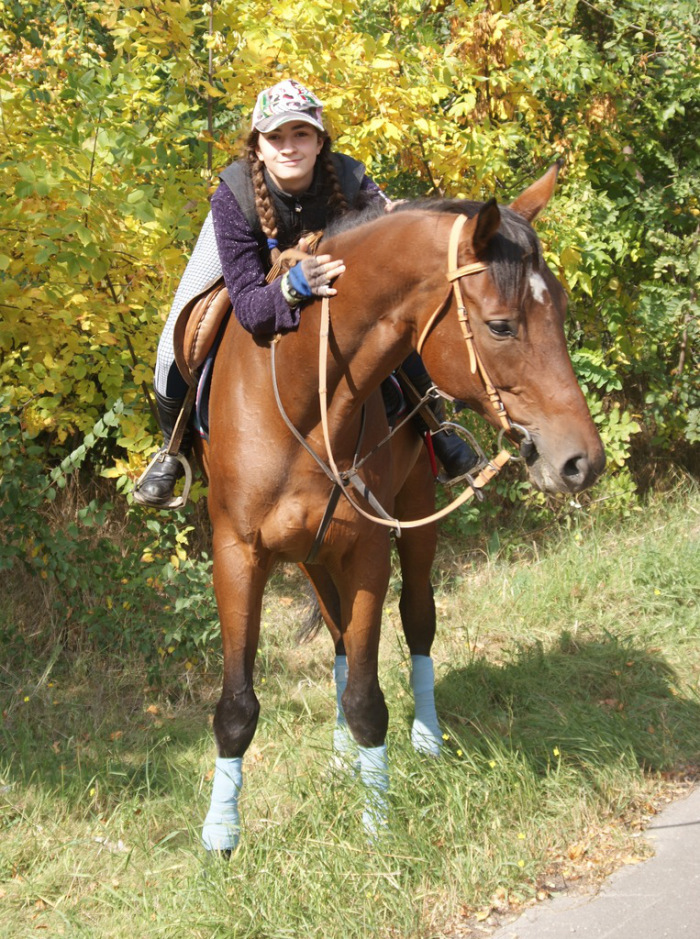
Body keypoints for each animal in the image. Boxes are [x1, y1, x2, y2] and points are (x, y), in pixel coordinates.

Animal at [200, 163, 604, 852]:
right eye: (501, 325)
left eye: (563, 308)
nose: (583, 461)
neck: (303, 406)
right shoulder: (238, 555)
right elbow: (237, 705)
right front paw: (221, 833)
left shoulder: (367, 549)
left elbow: (368, 697)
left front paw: (376, 821)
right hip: (312, 557)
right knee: (338, 638)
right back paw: (341, 756)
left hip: (410, 531)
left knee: (417, 621)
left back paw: (426, 738)